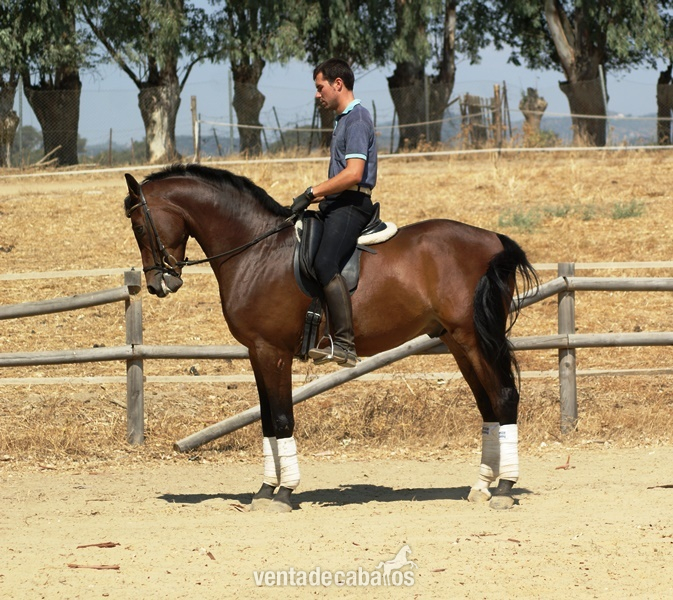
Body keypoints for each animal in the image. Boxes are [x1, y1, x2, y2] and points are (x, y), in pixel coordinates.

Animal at [123, 163, 538, 513]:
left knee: (504, 396)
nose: (159, 283)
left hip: (473, 337)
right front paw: (265, 490)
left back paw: (504, 489)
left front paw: (284, 493)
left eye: (140, 227)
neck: (257, 249)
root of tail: (494, 240)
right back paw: (482, 486)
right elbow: (267, 421)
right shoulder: (257, 352)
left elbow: (282, 419)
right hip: (455, 341)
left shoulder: (272, 351)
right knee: (487, 406)